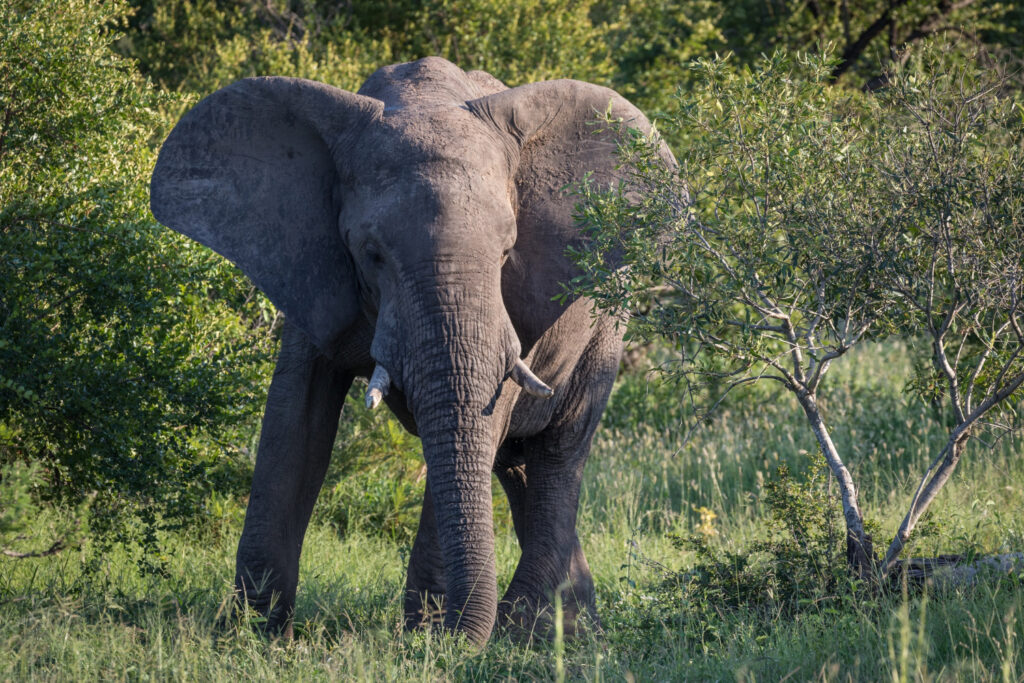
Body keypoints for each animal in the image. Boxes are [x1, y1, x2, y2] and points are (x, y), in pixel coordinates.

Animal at [149, 56, 671, 643]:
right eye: (371, 252)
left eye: (507, 251)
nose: (460, 636)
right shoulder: (311, 265)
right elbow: (294, 419)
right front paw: (252, 632)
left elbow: (484, 413)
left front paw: (433, 640)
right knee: (515, 464)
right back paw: (557, 626)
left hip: (608, 322)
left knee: (558, 450)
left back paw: (534, 627)